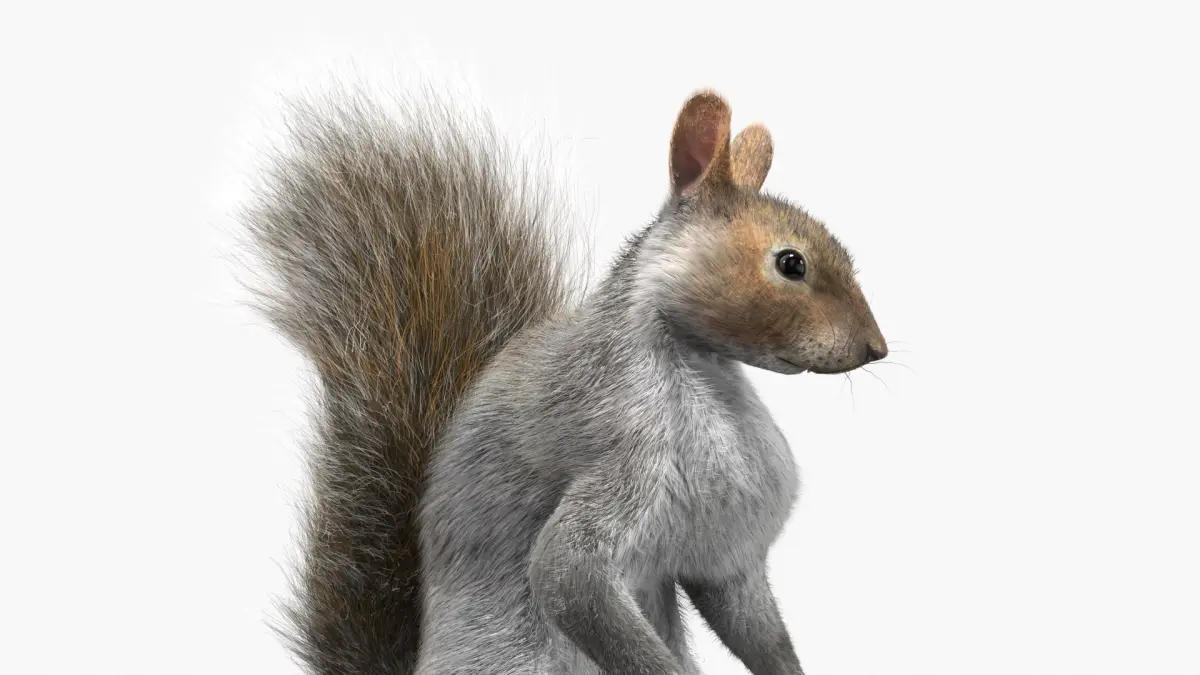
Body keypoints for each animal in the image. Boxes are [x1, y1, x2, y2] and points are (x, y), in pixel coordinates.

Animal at [243, 87, 886, 675]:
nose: (876, 349)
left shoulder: (724, 544)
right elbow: (567, 578)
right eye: (790, 263)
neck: (709, 382)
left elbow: (748, 618)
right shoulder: (623, 457)